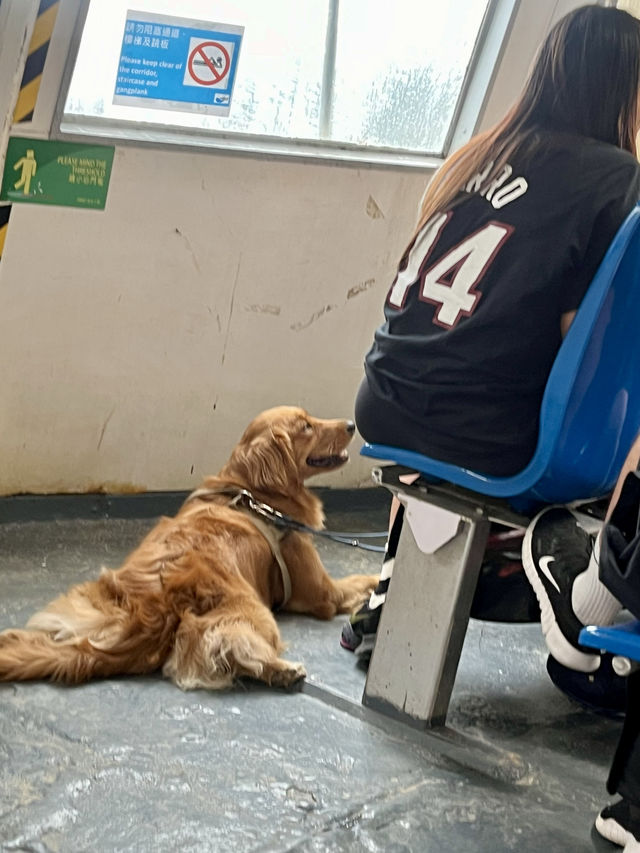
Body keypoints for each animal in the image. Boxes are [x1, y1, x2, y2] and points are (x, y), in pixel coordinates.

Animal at [0, 408, 380, 692]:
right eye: (305, 426)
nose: (351, 424)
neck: (254, 494)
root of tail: (151, 611)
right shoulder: (323, 594)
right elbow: (363, 579)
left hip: (87, 609)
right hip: (254, 613)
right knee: (230, 647)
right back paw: (280, 669)